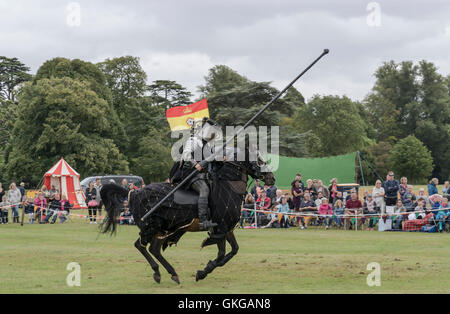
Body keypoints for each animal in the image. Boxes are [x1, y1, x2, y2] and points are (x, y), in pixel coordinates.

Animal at [100, 153, 274, 284]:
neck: (230, 186)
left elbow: (233, 251)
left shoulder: (227, 230)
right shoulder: (220, 229)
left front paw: (205, 270)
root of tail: (134, 192)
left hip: (162, 230)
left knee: (154, 249)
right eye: (258, 159)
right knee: (141, 245)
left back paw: (171, 273)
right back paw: (159, 272)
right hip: (151, 227)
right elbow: (221, 254)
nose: (271, 178)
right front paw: (202, 272)